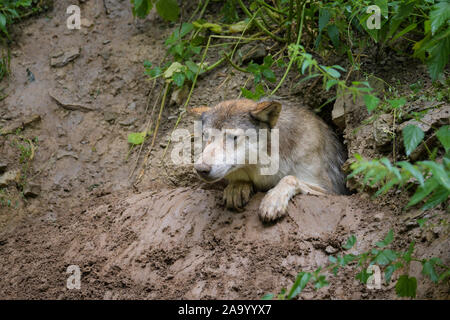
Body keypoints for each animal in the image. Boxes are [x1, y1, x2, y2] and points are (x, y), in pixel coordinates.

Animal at [192, 98, 346, 222]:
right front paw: (237, 186)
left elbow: (289, 178)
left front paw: (273, 201)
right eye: (205, 136)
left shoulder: (331, 191)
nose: (200, 169)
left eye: (233, 137)